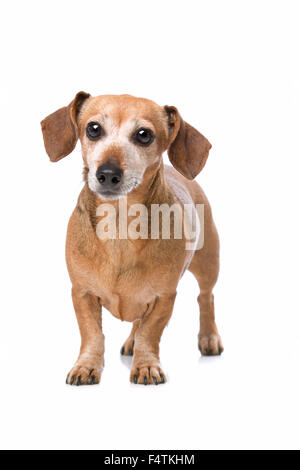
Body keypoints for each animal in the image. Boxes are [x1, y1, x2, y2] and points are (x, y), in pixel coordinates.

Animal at [41, 91, 223, 386]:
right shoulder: (82, 293)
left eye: (144, 135)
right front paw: (86, 366)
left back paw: (208, 337)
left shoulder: (163, 297)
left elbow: (150, 333)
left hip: (208, 265)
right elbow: (92, 334)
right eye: (93, 128)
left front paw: (146, 365)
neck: (120, 227)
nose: (107, 173)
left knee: (205, 298)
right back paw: (131, 341)